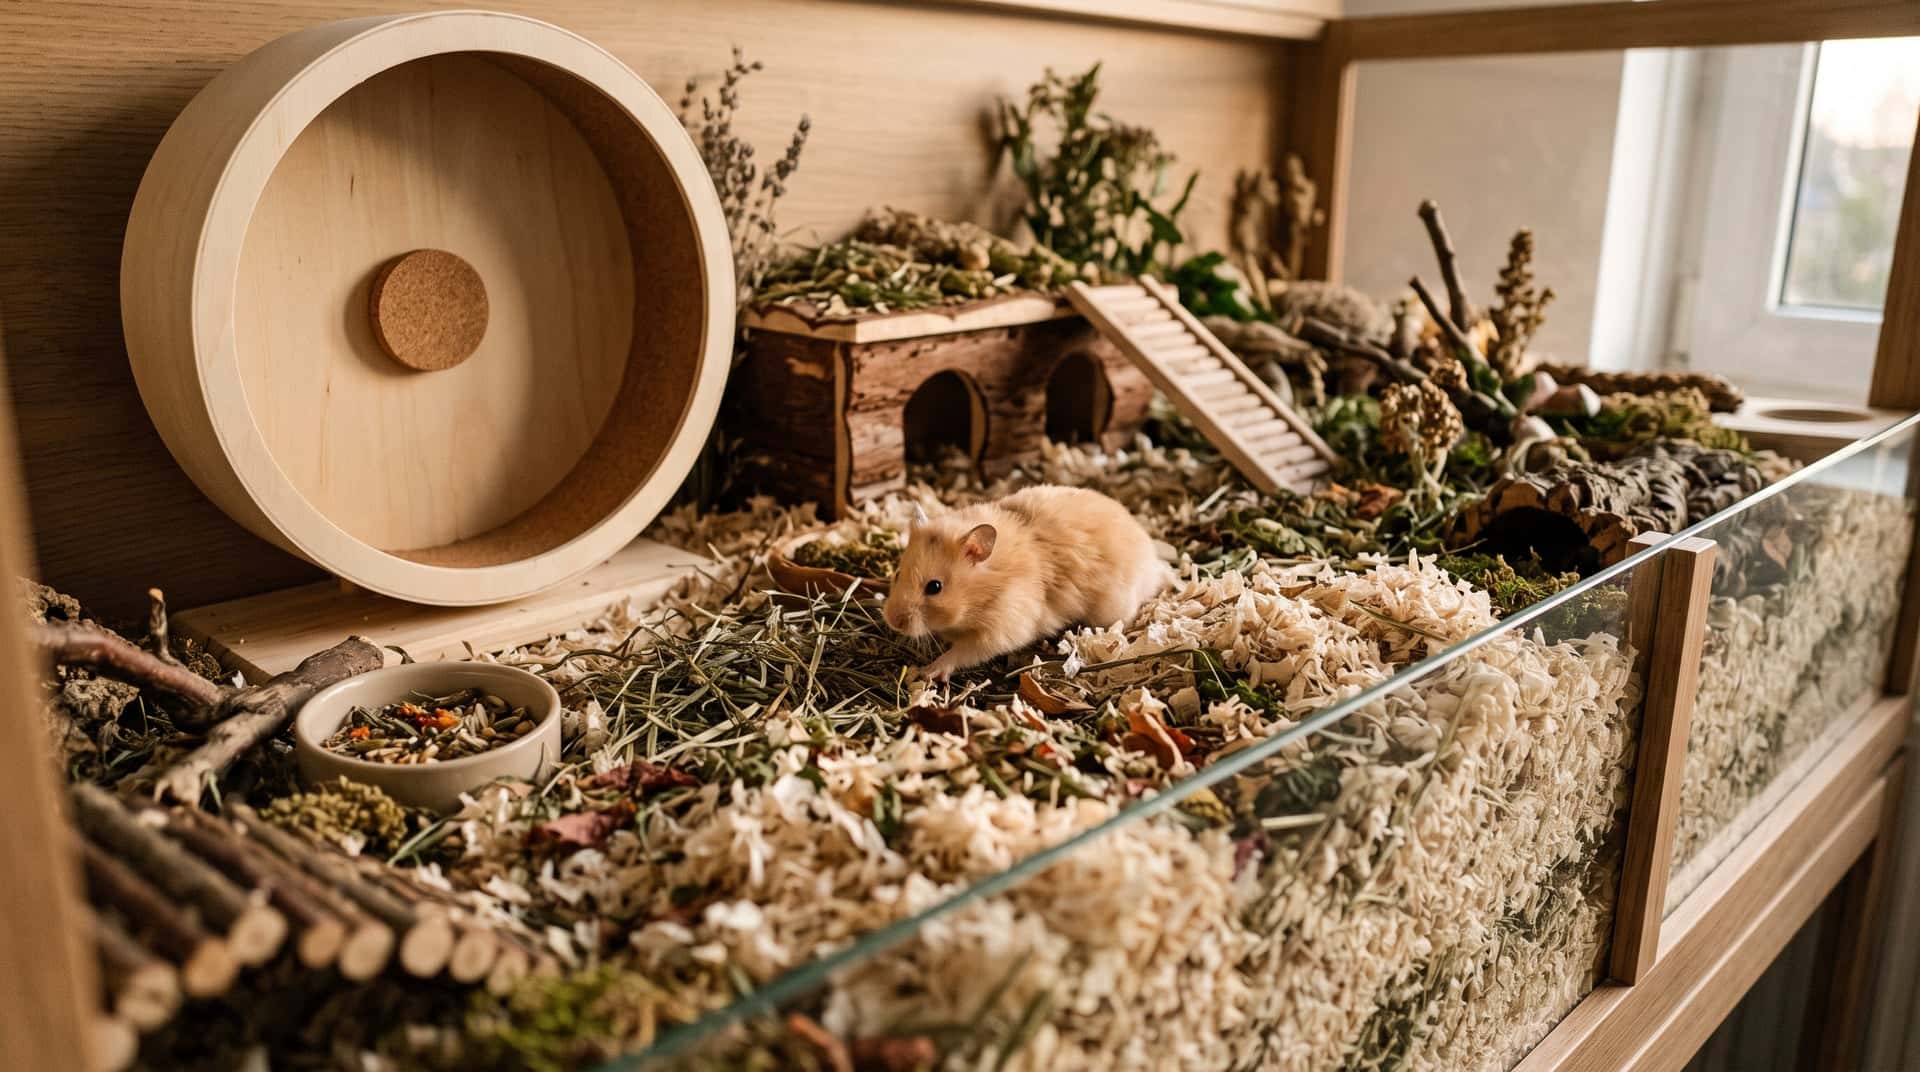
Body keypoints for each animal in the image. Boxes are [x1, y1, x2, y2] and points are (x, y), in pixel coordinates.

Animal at [882, 485, 1173, 682]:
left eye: (934, 587)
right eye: (897, 574)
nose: (893, 622)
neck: (982, 591)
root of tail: (1153, 561)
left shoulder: (1002, 628)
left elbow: (963, 652)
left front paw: (929, 671)